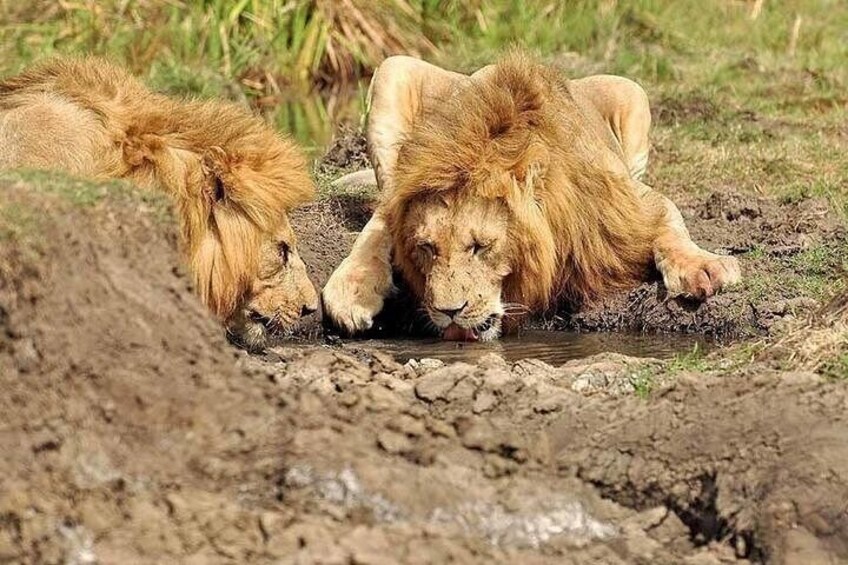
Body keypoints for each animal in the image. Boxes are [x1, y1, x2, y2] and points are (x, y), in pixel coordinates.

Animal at [322, 53, 741, 341]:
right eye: (426, 248)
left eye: (480, 247)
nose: (448, 311)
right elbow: (382, 225)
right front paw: (354, 288)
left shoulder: (629, 201)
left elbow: (670, 215)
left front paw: (702, 267)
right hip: (393, 70)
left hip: (630, 91)